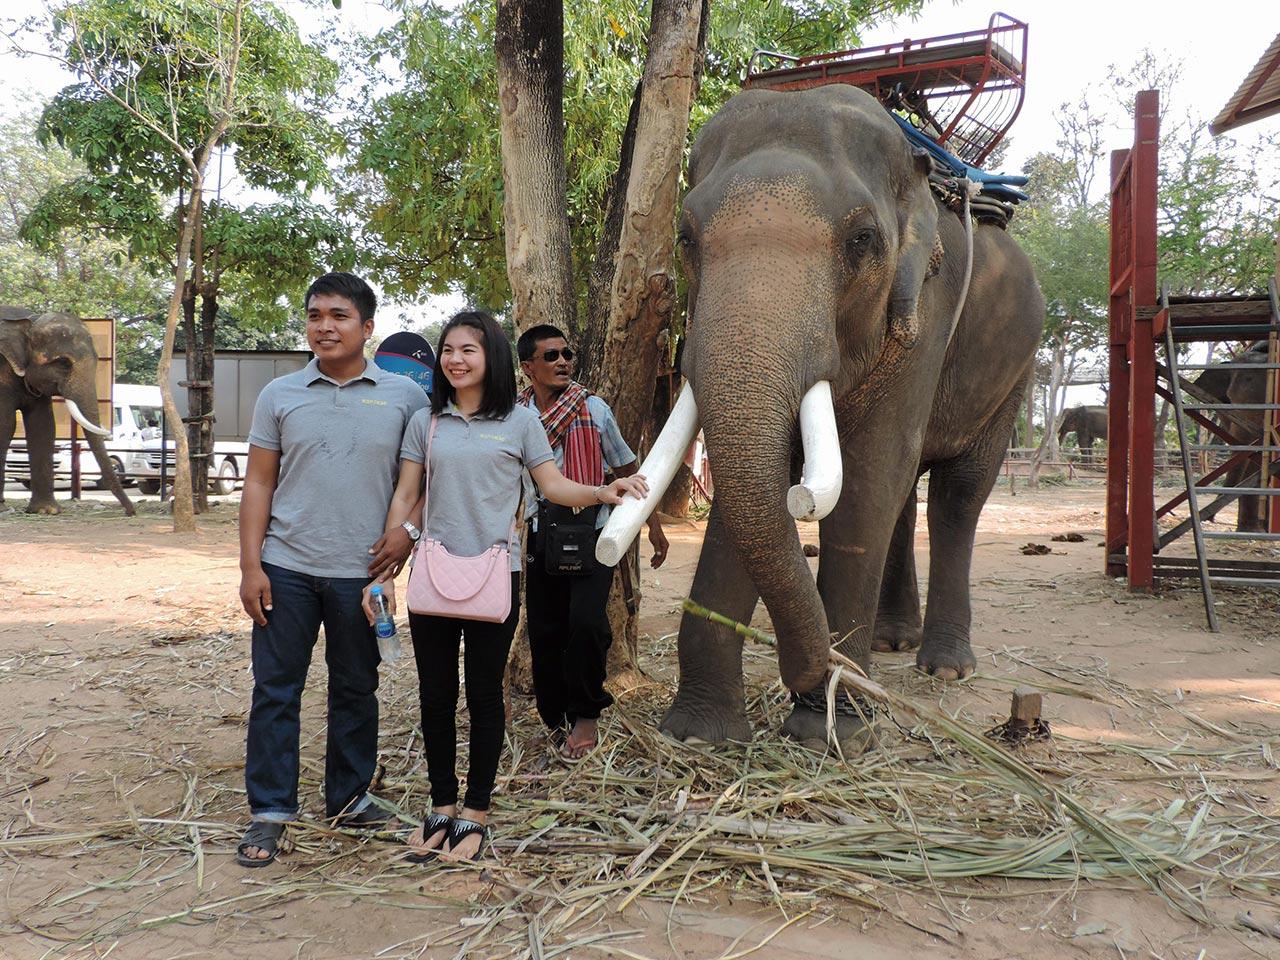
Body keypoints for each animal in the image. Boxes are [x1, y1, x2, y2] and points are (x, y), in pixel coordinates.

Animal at [1, 306, 135, 516]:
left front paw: (46, 511)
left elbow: (43, 425)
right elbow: (6, 424)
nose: (131, 512)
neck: (28, 320)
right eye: (64, 362)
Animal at [647, 85, 1043, 753]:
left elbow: (867, 476)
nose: (813, 668)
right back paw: (892, 642)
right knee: (908, 493)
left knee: (957, 495)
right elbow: (754, 486)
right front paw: (701, 734)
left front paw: (833, 732)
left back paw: (943, 667)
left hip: (1015, 371)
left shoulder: (925, 318)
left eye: (862, 241)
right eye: (686, 238)